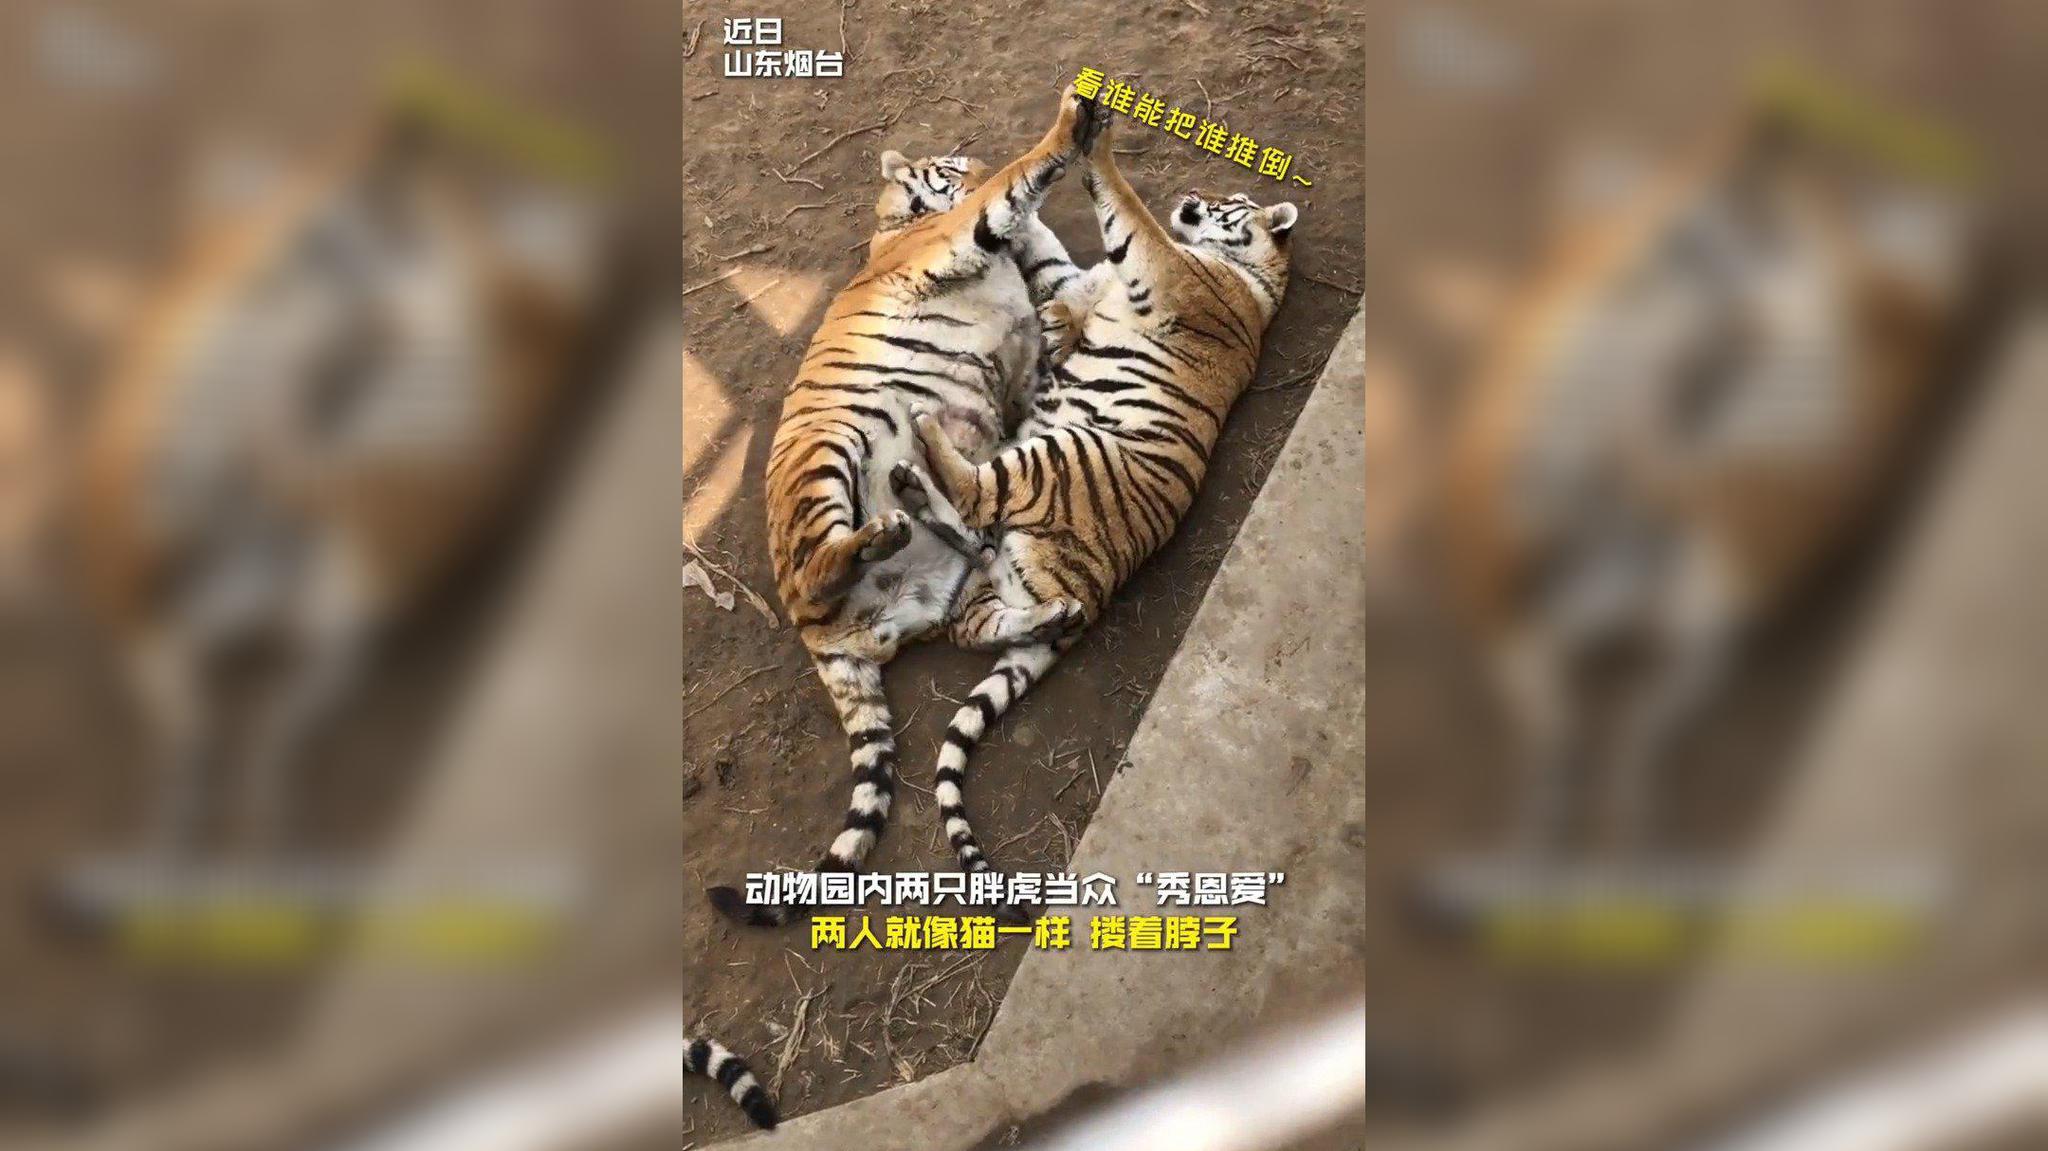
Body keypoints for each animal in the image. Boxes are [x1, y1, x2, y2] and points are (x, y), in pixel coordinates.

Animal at [705, 85, 1107, 928]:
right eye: (952, 166)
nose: (969, 164)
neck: (892, 225)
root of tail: (824, 635)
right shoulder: (961, 232)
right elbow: (1019, 183)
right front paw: (1071, 122)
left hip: (941, 587)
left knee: (973, 600)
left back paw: (1027, 593)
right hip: (826, 454)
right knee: (820, 565)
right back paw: (878, 532)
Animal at [888, 108, 1298, 903]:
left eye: (1232, 198)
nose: (1195, 195)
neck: (1247, 273)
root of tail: (1091, 589)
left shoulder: (1161, 267)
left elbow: (1128, 210)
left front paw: (1096, 135)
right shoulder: (1083, 274)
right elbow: (1045, 249)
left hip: (1054, 457)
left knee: (978, 494)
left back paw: (921, 444)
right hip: (999, 563)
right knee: (976, 610)